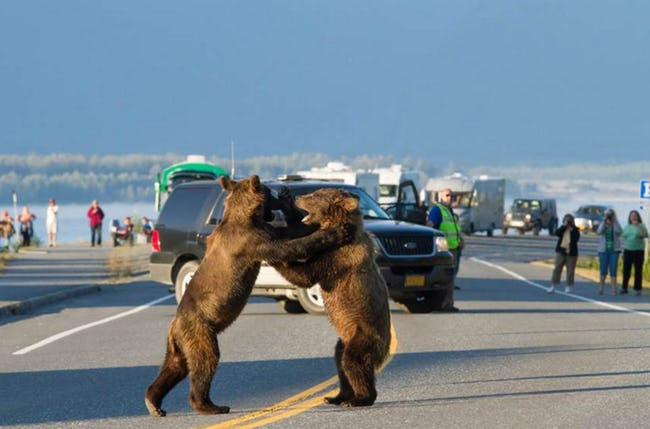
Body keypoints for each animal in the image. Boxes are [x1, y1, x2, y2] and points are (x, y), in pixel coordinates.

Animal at [144, 174, 352, 414]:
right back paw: (209, 404)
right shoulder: (253, 240)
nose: (278, 194)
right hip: (199, 330)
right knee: (205, 361)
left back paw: (154, 402)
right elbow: (289, 245)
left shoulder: (264, 229)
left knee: (174, 367)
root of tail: (175, 325)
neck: (245, 216)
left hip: (179, 344)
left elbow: (292, 231)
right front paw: (335, 232)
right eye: (269, 191)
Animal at [270, 186, 388, 404]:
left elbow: (306, 275)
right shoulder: (324, 242)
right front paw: (286, 198)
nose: (299, 197)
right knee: (339, 361)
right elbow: (303, 233)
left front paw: (276, 256)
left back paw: (360, 398)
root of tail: (383, 353)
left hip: (364, 335)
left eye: (315, 196)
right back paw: (337, 396)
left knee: (353, 362)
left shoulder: (338, 257)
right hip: (344, 339)